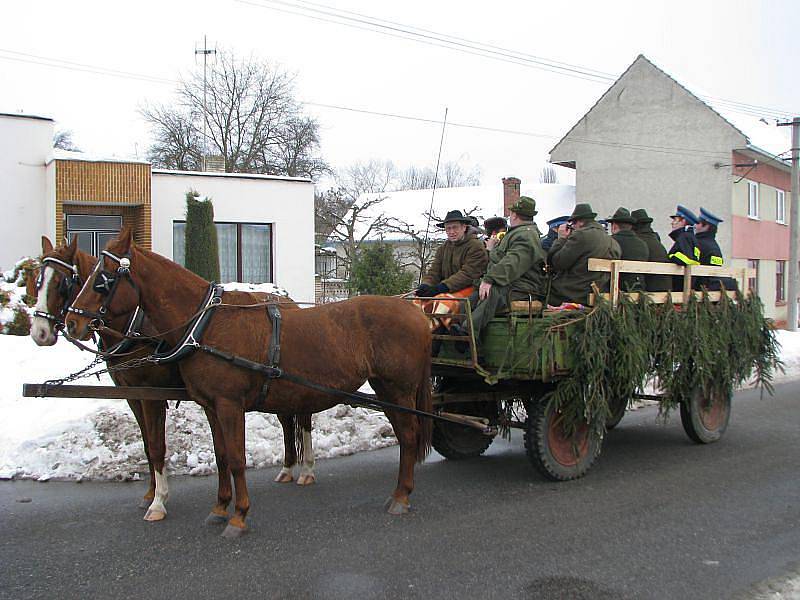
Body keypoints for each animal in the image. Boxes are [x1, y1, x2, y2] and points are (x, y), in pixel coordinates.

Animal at [31, 234, 318, 520]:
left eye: (61, 283)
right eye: (37, 281)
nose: (40, 332)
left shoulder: (152, 395)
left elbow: (157, 447)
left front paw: (158, 501)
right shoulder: (133, 395)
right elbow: (148, 445)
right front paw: (150, 494)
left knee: (301, 420)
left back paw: (305, 470)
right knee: (287, 421)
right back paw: (288, 468)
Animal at [65, 231, 434, 540]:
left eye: (103, 279)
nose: (71, 322)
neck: (206, 325)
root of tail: (416, 312)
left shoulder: (229, 404)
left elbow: (237, 458)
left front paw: (239, 516)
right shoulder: (211, 406)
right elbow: (221, 456)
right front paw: (219, 507)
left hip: (397, 389)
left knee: (409, 436)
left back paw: (401, 495)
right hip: (386, 390)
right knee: (404, 435)